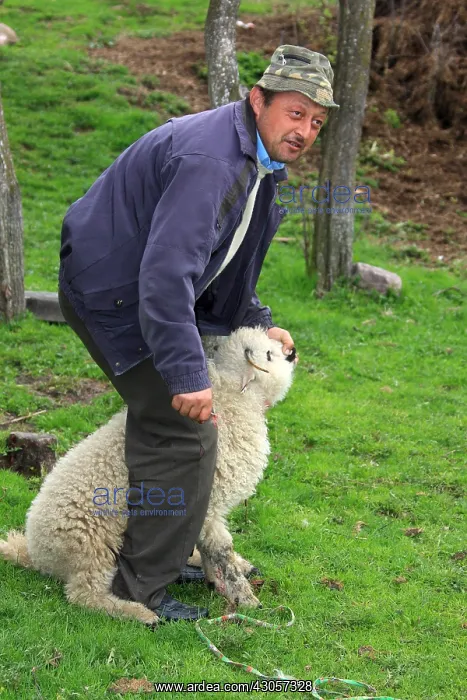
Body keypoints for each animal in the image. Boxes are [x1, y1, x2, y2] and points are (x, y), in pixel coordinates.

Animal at [0, 327, 296, 625]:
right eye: (268, 355)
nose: (291, 352)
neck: (234, 400)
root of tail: (36, 553)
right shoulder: (209, 501)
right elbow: (221, 550)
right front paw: (245, 599)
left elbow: (213, 549)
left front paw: (218, 580)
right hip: (92, 547)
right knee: (84, 595)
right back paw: (139, 612)